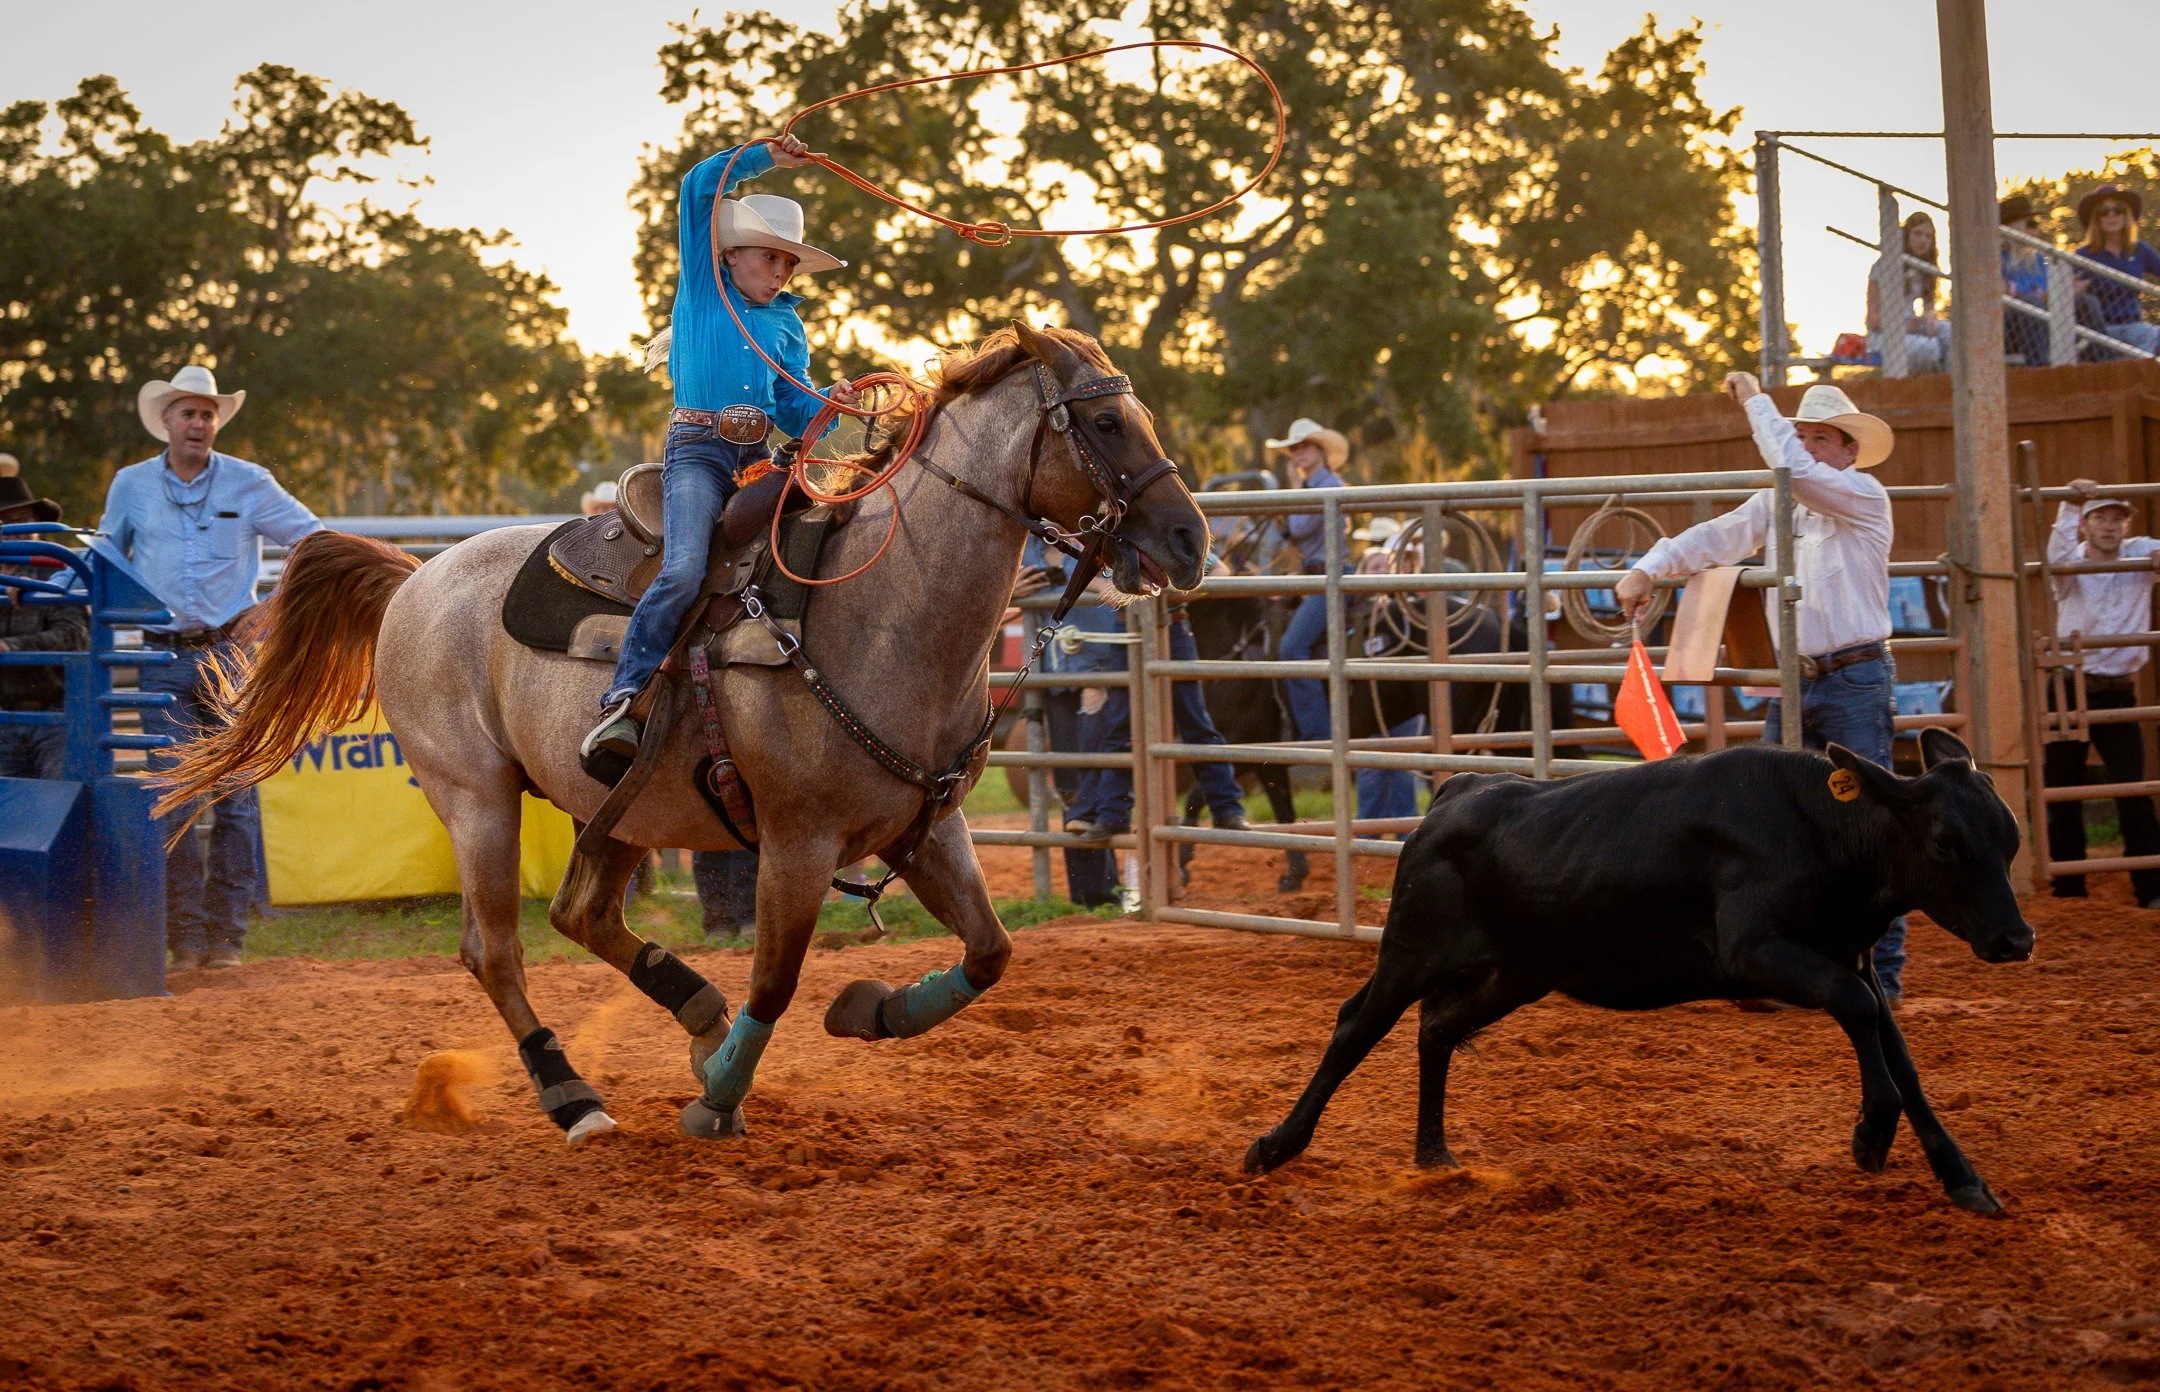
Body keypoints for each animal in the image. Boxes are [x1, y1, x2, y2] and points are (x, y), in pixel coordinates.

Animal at [157, 322, 1207, 1145]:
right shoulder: (796, 842)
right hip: (477, 799)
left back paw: (696, 1014)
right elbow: (776, 980)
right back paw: (573, 1095)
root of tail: (414, 575)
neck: (877, 612)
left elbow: (990, 954)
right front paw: (719, 1103)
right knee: (495, 951)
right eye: (1105, 422)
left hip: (621, 809)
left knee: (581, 914)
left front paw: (867, 1011)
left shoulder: (928, 827)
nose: (1191, 540)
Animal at [1243, 729, 2034, 1214]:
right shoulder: (1759, 952)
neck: (1825, 828)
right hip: (1410, 951)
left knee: (1437, 1028)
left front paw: (1963, 1179)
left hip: (1517, 972)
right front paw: (1870, 1134)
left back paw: (1435, 1154)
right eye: (1945, 841)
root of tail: (1455, 794)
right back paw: (1276, 1145)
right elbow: (1862, 1017)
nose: (2016, 937)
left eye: (2010, 838)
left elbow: (1901, 1058)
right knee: (1356, 1026)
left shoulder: (1852, 960)